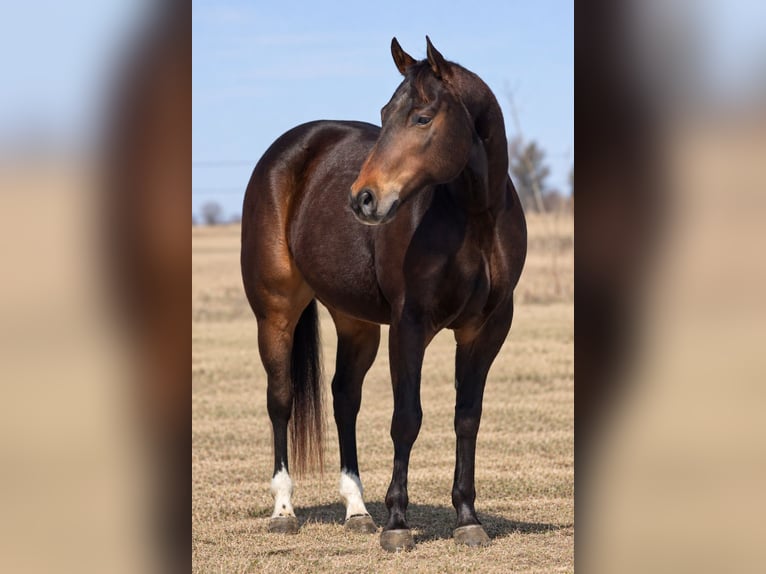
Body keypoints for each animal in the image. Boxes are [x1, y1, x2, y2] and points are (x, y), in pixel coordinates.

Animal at [241, 36, 526, 552]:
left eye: (422, 118)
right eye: (384, 112)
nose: (363, 199)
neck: (474, 218)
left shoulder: (486, 330)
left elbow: (467, 417)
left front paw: (467, 518)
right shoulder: (409, 325)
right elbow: (406, 418)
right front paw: (397, 523)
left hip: (355, 323)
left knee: (344, 398)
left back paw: (357, 509)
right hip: (274, 313)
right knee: (281, 400)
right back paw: (284, 510)